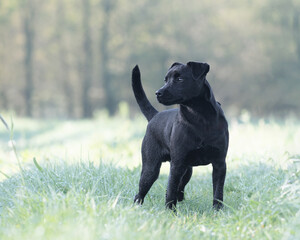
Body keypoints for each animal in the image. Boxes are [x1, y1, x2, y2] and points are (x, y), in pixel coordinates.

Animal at [132, 61, 229, 210]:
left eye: (180, 79)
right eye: (165, 80)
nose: (158, 93)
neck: (200, 117)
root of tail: (155, 115)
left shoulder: (219, 163)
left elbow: (218, 191)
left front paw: (217, 210)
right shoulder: (177, 164)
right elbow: (171, 190)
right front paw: (170, 212)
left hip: (187, 171)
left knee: (179, 189)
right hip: (151, 169)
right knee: (141, 193)